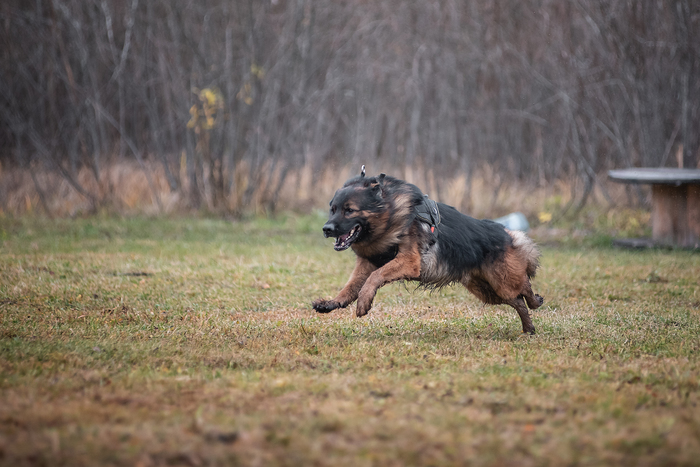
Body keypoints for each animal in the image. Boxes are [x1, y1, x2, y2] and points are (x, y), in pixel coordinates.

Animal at [312, 166, 544, 334]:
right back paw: (528, 328)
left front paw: (363, 301)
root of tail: (507, 233)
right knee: (518, 301)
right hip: (488, 290)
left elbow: (375, 277)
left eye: (349, 210)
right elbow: (351, 286)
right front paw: (333, 303)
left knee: (524, 288)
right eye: (332, 209)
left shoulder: (408, 261)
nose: (326, 229)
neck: (389, 213)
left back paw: (536, 302)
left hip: (503, 281)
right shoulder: (367, 263)